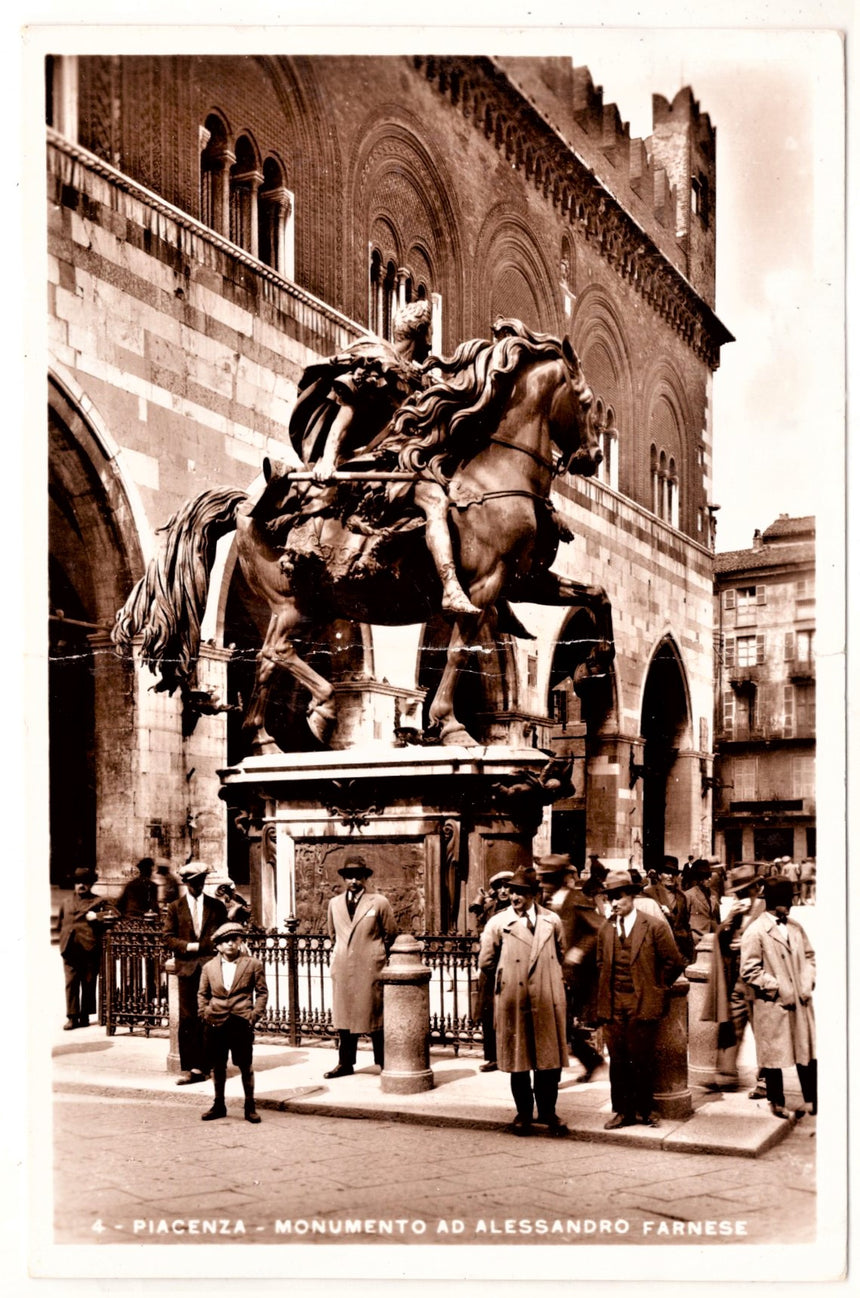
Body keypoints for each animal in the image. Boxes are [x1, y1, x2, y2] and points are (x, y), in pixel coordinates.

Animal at [114, 319, 614, 752]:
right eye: (588, 403)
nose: (591, 457)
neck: (492, 477)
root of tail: (244, 507)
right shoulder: (483, 586)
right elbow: (458, 650)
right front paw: (451, 726)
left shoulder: (525, 581)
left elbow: (598, 594)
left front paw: (596, 660)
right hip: (295, 603)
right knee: (275, 651)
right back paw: (319, 710)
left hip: (309, 605)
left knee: (266, 660)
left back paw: (264, 741)